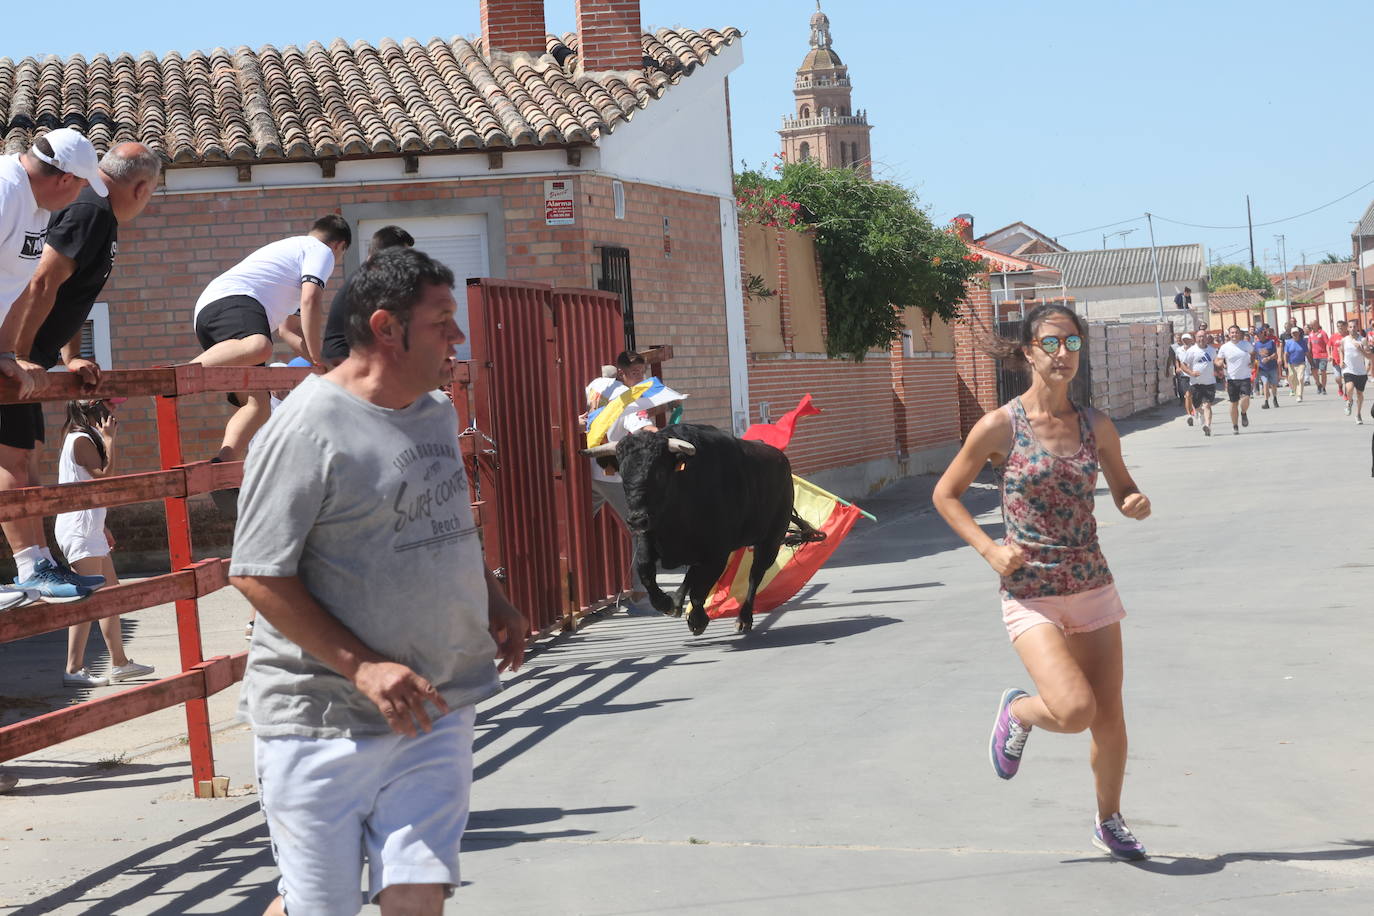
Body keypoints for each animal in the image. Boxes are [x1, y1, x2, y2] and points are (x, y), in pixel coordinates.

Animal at [585, 425, 791, 634]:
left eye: (659, 473)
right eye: (623, 474)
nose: (637, 520)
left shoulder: (717, 552)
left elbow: (700, 590)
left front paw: (697, 620)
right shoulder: (648, 538)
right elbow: (645, 570)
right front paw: (665, 602)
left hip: (771, 541)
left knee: (755, 576)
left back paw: (744, 618)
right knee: (693, 573)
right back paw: (676, 602)